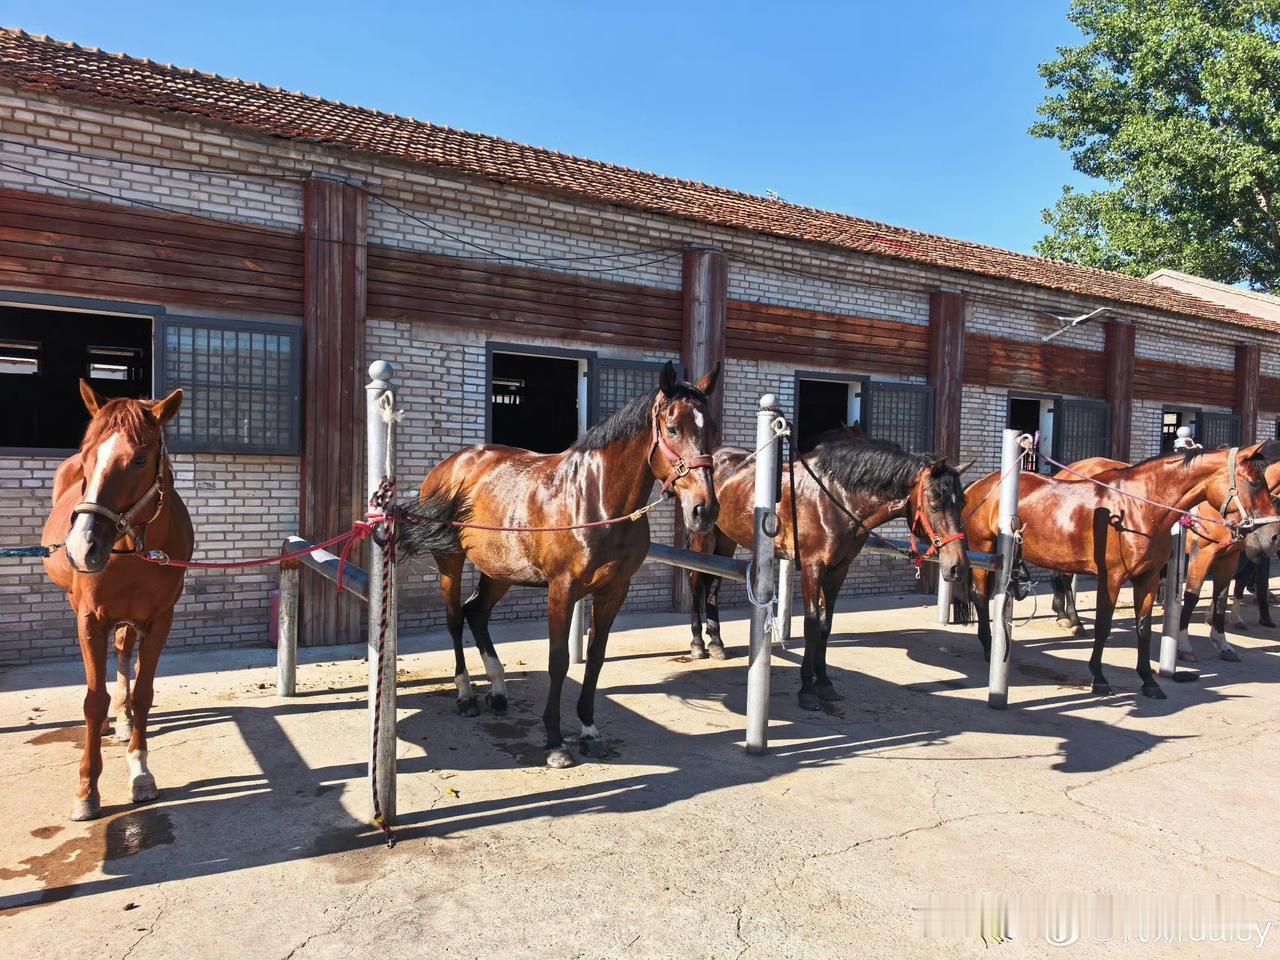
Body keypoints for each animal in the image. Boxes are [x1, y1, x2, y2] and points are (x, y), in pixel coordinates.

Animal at [41, 381, 192, 821]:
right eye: (88, 453)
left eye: (140, 459)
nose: (83, 546)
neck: (134, 550)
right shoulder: (90, 618)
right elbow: (94, 701)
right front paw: (86, 791)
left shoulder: (160, 620)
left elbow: (143, 693)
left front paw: (141, 772)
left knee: (125, 653)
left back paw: (123, 720)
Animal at [402, 361, 720, 768]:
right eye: (673, 427)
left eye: (711, 430)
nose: (704, 510)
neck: (596, 499)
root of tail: (451, 465)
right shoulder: (562, 589)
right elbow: (558, 661)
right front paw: (555, 742)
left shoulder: (614, 590)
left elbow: (596, 659)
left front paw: (589, 732)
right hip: (450, 560)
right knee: (456, 618)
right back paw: (466, 696)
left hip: (499, 570)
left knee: (477, 613)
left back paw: (498, 691)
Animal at [688, 431, 973, 711]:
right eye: (935, 504)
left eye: (962, 503)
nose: (957, 566)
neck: (835, 500)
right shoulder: (812, 569)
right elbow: (812, 625)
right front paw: (807, 691)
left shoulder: (838, 570)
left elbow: (826, 625)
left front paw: (824, 684)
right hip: (704, 537)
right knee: (695, 582)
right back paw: (698, 644)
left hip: (726, 540)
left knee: (712, 585)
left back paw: (716, 643)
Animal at [962, 443, 1280, 699]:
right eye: (1254, 482)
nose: (1273, 536)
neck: (1137, 508)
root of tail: (980, 484)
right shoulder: (1113, 578)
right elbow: (1104, 626)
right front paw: (1099, 677)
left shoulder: (1148, 579)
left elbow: (1145, 629)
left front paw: (1149, 681)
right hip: (984, 549)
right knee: (980, 597)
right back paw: (991, 645)